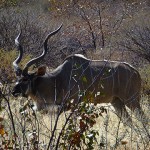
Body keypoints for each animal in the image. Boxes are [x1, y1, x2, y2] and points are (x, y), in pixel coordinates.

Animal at [12, 25, 148, 127]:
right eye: (17, 78)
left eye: (25, 79)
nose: (13, 92)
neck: (57, 80)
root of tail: (135, 71)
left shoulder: (74, 105)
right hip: (117, 102)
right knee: (129, 121)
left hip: (131, 100)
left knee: (143, 119)